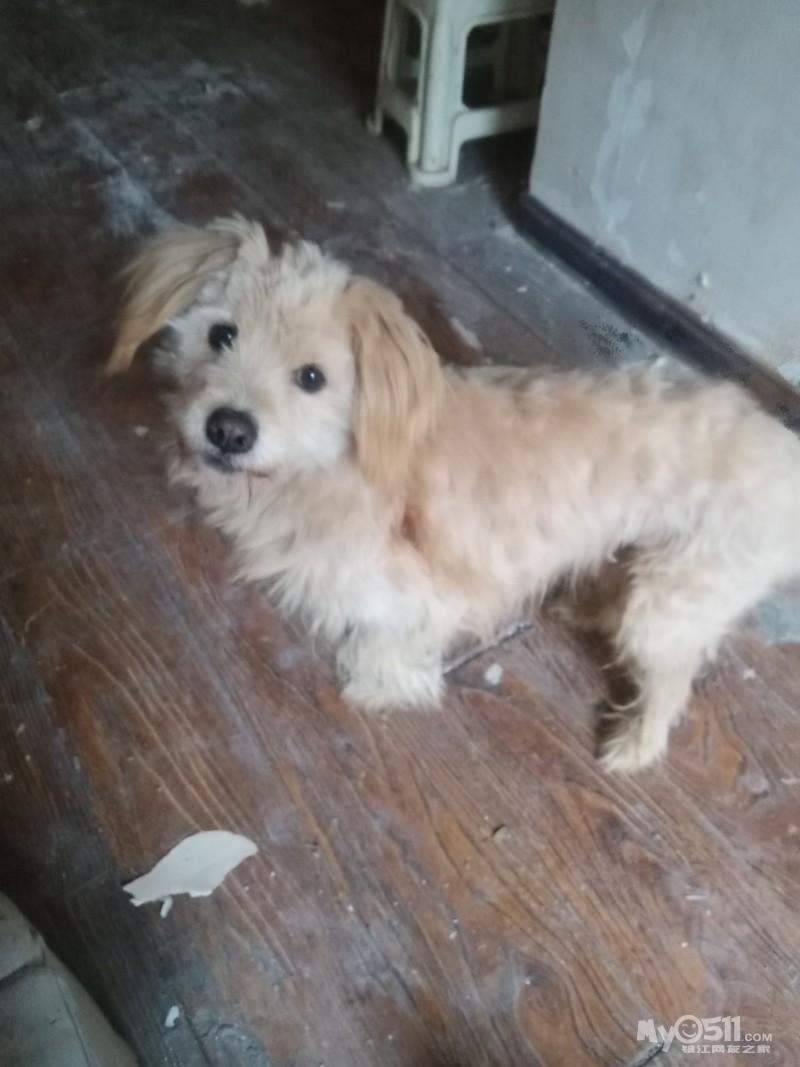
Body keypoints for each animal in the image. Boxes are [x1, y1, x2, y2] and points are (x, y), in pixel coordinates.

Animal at [108, 215, 800, 772]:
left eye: (311, 378)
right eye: (221, 335)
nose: (228, 429)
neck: (334, 466)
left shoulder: (419, 598)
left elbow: (389, 647)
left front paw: (377, 689)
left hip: (672, 603)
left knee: (672, 682)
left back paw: (634, 746)